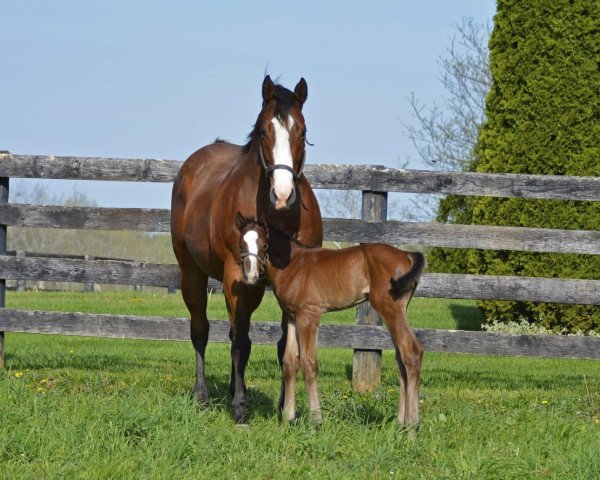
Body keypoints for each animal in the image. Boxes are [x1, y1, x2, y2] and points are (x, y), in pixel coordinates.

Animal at [236, 214, 426, 428]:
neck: (293, 265)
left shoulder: (308, 316)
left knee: (412, 351)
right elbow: (289, 363)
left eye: (264, 244)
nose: (251, 277)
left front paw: (315, 422)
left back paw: (412, 426)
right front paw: (287, 419)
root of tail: (406, 253)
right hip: (397, 311)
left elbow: (309, 363)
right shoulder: (292, 317)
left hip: (390, 308)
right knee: (401, 359)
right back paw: (401, 424)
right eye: (241, 244)